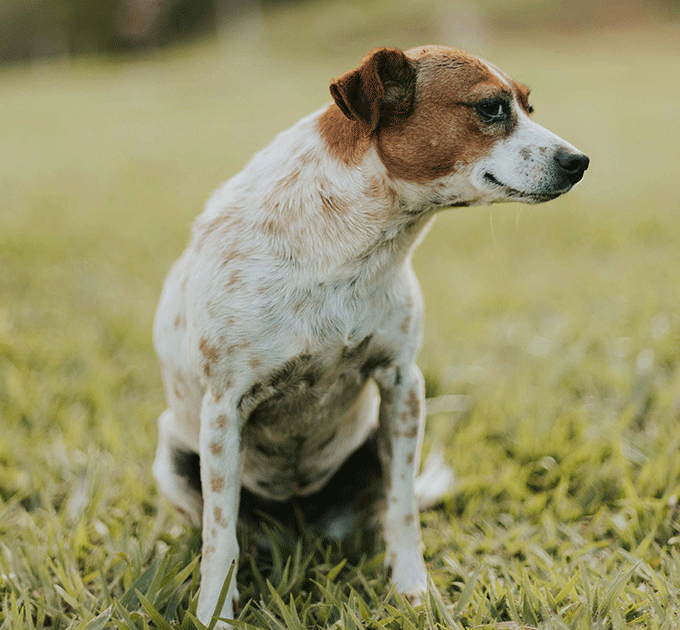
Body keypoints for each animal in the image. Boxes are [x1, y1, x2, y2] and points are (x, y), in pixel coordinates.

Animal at [151, 45, 588, 628]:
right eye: (492, 108)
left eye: (527, 105)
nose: (580, 162)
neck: (352, 246)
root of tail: (300, 529)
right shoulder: (224, 409)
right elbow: (219, 538)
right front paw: (214, 615)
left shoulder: (402, 385)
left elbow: (402, 512)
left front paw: (412, 590)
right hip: (176, 458)